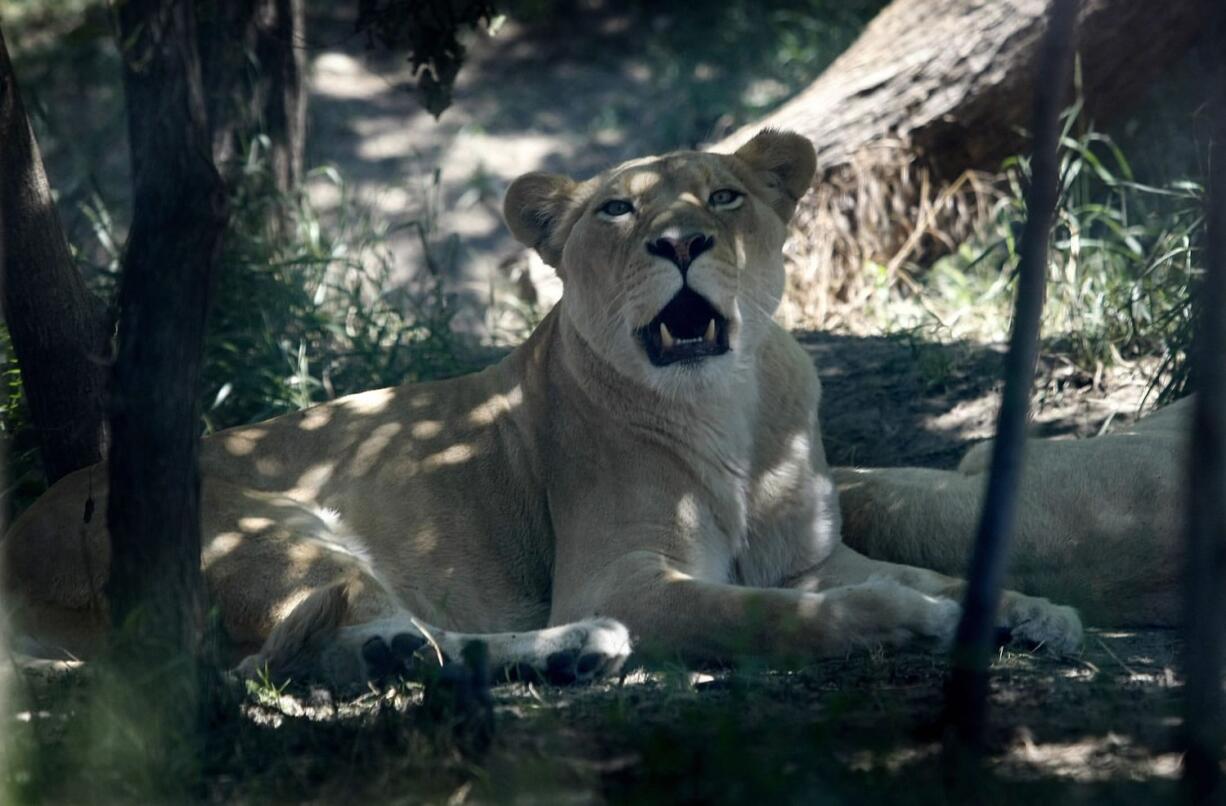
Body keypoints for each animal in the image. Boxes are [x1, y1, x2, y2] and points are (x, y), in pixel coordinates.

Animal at [2, 131, 1083, 687]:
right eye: (618, 209)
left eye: (724, 198)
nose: (680, 242)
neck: (727, 409)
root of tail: (20, 539)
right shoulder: (623, 574)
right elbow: (771, 612)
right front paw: (901, 622)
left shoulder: (815, 554)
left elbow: (928, 571)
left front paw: (1031, 612)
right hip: (276, 524)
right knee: (339, 646)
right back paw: (574, 650)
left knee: (366, 648)